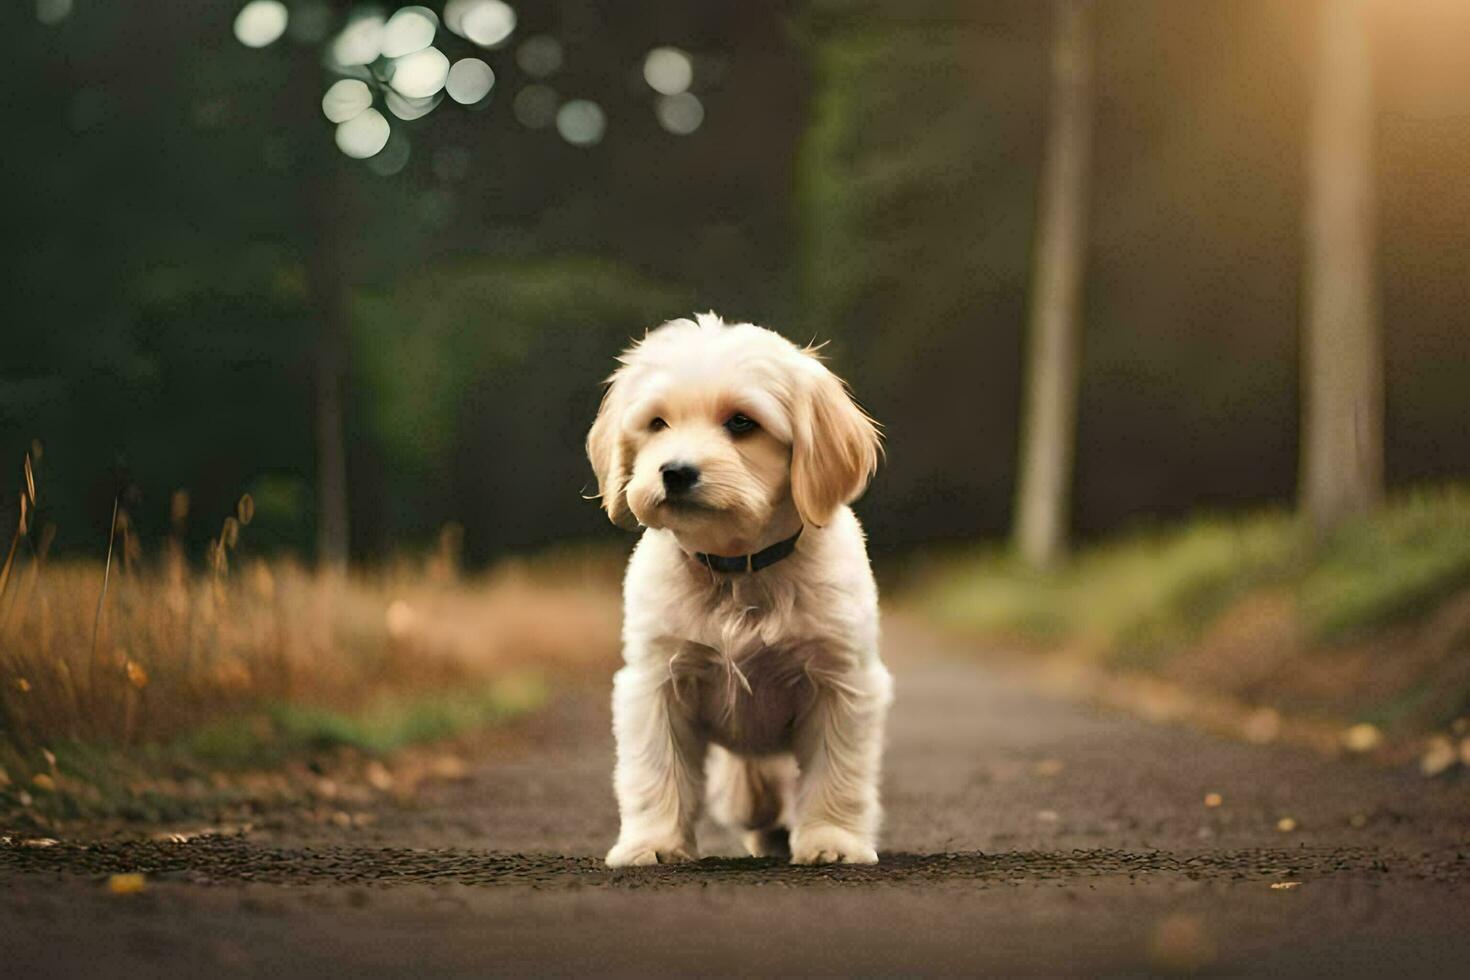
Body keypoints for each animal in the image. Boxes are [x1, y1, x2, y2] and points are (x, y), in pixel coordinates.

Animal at [588, 314, 893, 863]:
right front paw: (653, 842)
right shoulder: (654, 683)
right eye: (657, 423)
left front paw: (832, 840)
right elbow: (655, 772)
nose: (675, 472)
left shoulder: (843, 683)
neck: (737, 573)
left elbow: (837, 774)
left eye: (742, 423)